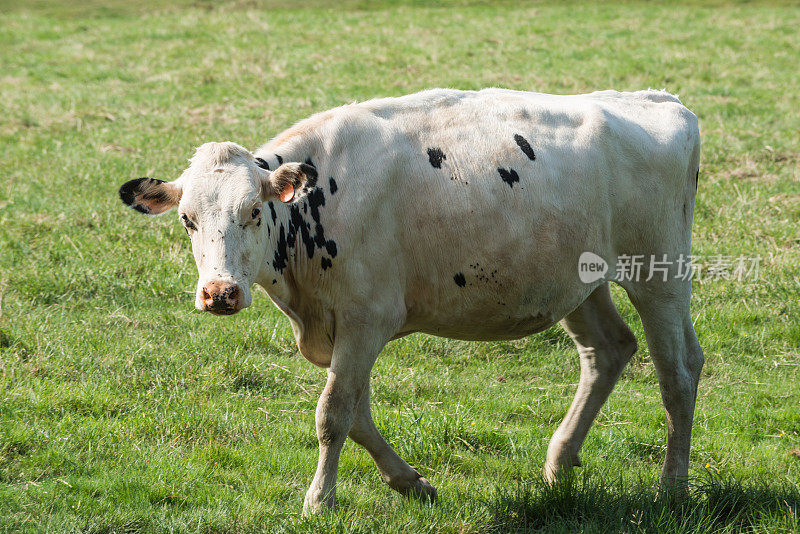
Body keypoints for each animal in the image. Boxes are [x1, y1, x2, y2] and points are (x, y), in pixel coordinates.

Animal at [119, 88, 700, 516]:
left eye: (254, 212)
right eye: (187, 220)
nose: (220, 293)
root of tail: (659, 100)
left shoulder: (366, 319)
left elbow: (333, 412)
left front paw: (319, 500)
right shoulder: (344, 330)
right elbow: (356, 414)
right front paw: (411, 483)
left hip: (659, 273)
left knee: (678, 371)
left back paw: (671, 488)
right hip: (580, 282)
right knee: (608, 351)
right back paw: (560, 462)